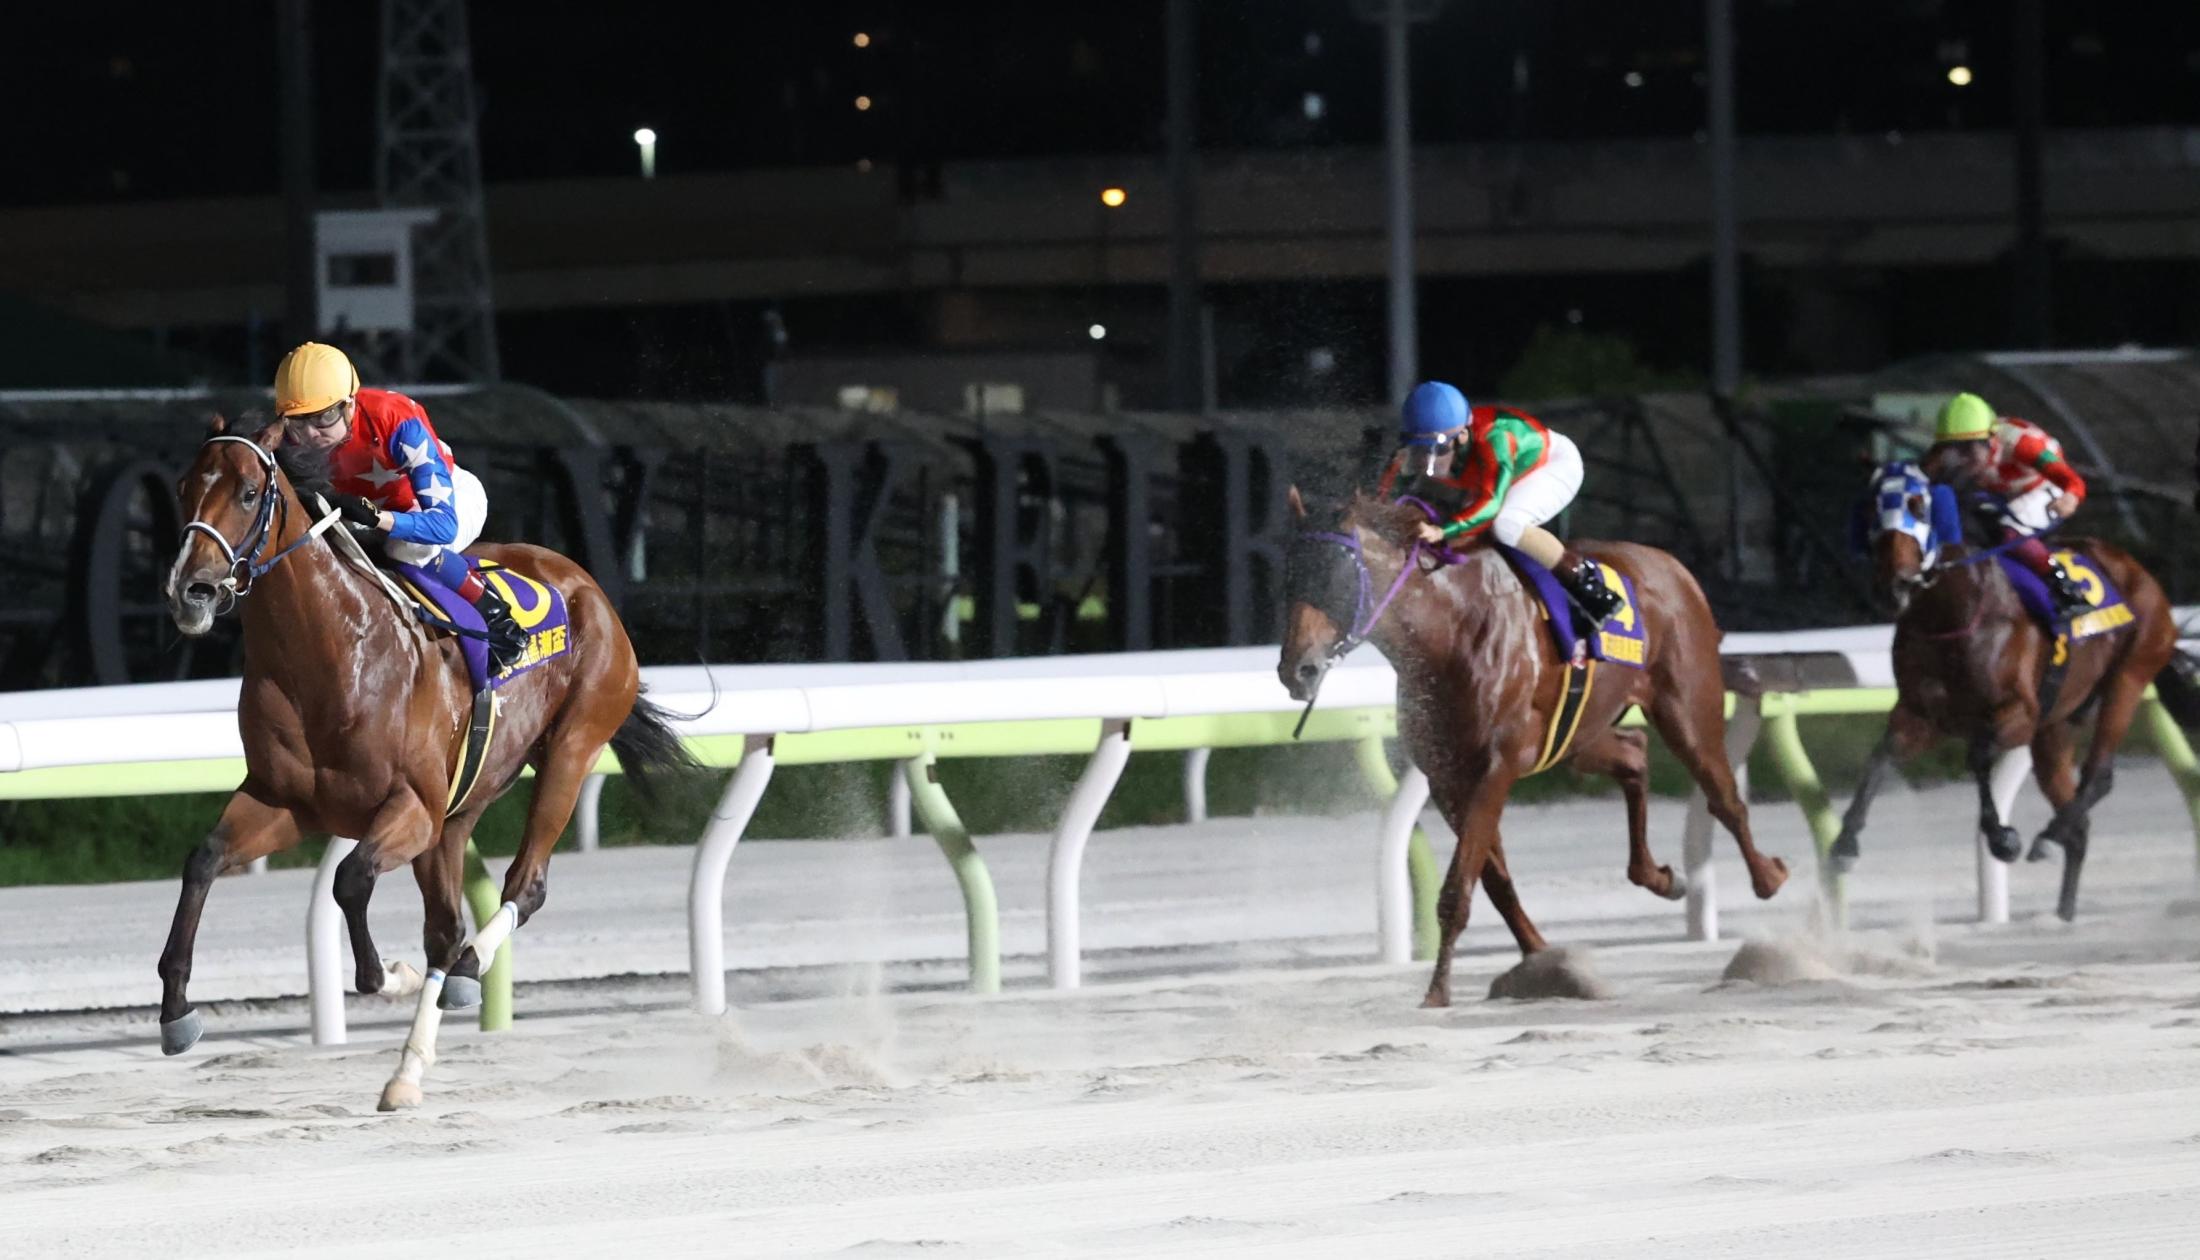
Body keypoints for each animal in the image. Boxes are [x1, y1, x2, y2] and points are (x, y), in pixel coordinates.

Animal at [161, 417, 690, 1103]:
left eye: (250, 493)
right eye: (183, 488)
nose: (190, 591)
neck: (330, 653)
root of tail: (586, 584)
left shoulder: (411, 807)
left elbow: (350, 879)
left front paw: (390, 975)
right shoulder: (285, 803)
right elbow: (202, 861)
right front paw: (176, 1012)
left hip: (572, 750)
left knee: (522, 889)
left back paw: (467, 971)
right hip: (462, 807)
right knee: (446, 929)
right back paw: (407, 1072)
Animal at [1284, 488, 1777, 1002]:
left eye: (1332, 576)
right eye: (1290, 574)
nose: (1296, 669)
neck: (1450, 629)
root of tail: (1672, 565)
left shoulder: (1494, 768)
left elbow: (1459, 887)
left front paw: (1437, 992)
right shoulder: (1447, 777)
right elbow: (1493, 880)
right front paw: (1541, 958)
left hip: (1687, 710)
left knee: (1723, 796)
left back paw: (1768, 877)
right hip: (1579, 736)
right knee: (1634, 753)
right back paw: (1659, 875)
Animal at [1821, 457, 2182, 919]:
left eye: (1919, 507)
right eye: (1870, 510)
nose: (1894, 584)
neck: (1953, 612)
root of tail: (2138, 570)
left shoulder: (2018, 713)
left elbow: (1978, 756)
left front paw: (2002, 837)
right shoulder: (1921, 715)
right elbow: (1879, 758)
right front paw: (1844, 845)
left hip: (2130, 676)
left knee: (2099, 776)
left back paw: (2048, 839)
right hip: (2056, 727)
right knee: (2078, 821)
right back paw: (2063, 909)